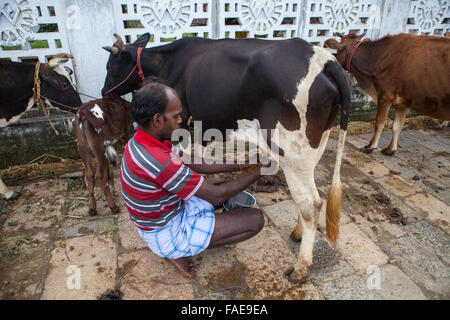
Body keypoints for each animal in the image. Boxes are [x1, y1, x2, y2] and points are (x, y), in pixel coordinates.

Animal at [100, 33, 350, 282]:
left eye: (110, 66)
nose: (103, 92)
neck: (172, 62)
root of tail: (326, 60)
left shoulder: (187, 125)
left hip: (293, 154)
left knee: (310, 203)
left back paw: (300, 268)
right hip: (311, 150)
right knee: (310, 198)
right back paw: (297, 234)